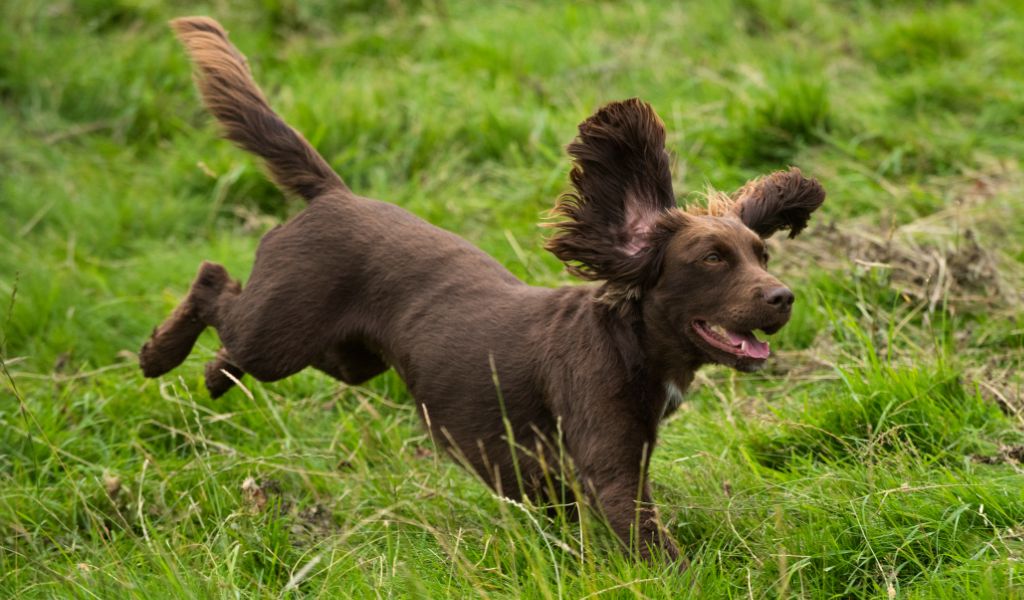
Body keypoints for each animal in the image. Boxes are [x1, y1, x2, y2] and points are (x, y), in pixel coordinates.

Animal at [142, 17, 823, 561]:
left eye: (762, 254)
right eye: (712, 259)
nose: (783, 297)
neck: (630, 342)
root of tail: (334, 194)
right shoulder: (610, 468)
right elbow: (649, 539)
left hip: (346, 358)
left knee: (238, 331)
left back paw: (214, 375)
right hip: (282, 335)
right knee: (212, 281)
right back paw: (160, 355)